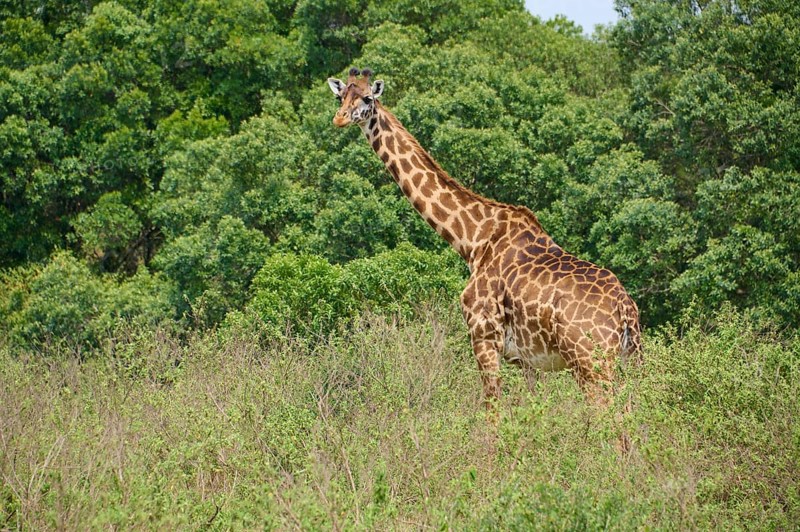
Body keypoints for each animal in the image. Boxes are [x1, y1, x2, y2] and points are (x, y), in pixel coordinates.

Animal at [327, 68, 641, 407]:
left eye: (367, 98)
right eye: (340, 95)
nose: (340, 119)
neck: (473, 239)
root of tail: (626, 310)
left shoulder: (483, 335)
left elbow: (493, 407)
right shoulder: (528, 361)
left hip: (589, 361)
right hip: (629, 360)